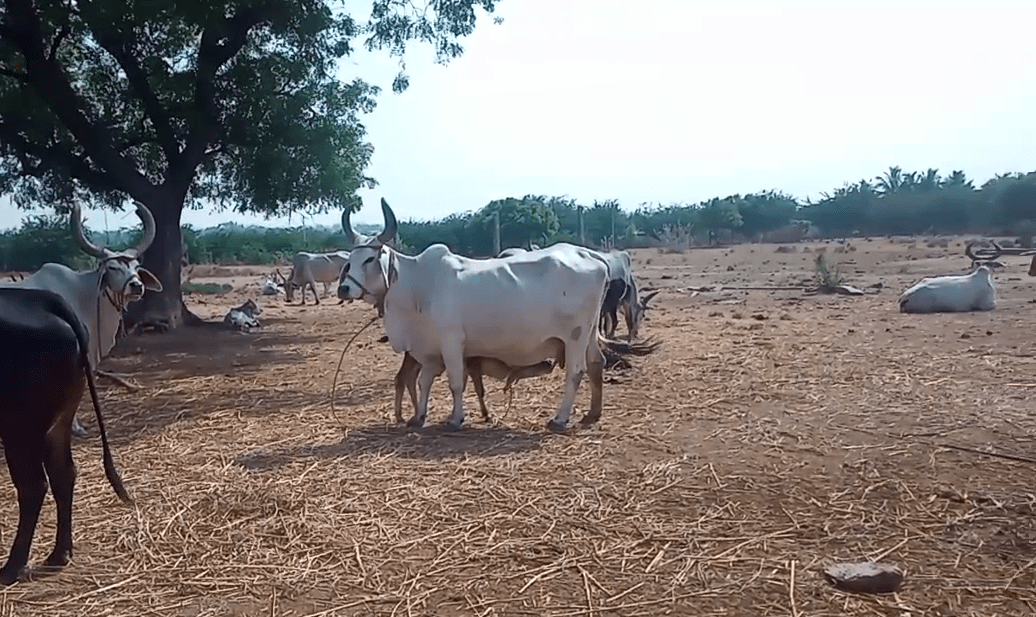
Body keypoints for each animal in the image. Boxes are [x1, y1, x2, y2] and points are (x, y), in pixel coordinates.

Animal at [0, 287, 131, 583]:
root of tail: (41, 298)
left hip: (19, 427)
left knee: (34, 485)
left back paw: (12, 566)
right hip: (58, 423)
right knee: (63, 474)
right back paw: (59, 554)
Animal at [339, 199, 613, 430]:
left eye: (370, 258)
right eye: (350, 258)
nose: (344, 288)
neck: (417, 284)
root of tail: (591, 255)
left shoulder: (451, 342)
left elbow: (455, 383)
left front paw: (456, 419)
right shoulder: (428, 349)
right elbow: (423, 381)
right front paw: (419, 417)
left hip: (575, 336)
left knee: (575, 373)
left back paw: (560, 419)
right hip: (588, 334)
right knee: (596, 363)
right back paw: (592, 414)